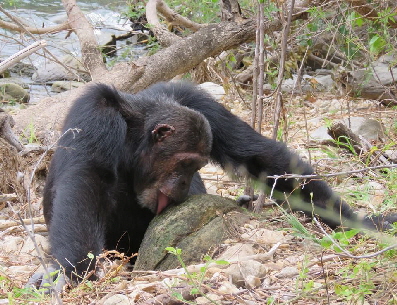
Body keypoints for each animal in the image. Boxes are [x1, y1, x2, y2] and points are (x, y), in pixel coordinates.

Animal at [31, 81, 396, 288]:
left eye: (195, 166)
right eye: (184, 164)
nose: (181, 185)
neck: (135, 131)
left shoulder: (197, 100)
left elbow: (259, 155)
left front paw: (361, 221)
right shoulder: (95, 115)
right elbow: (85, 184)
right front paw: (71, 273)